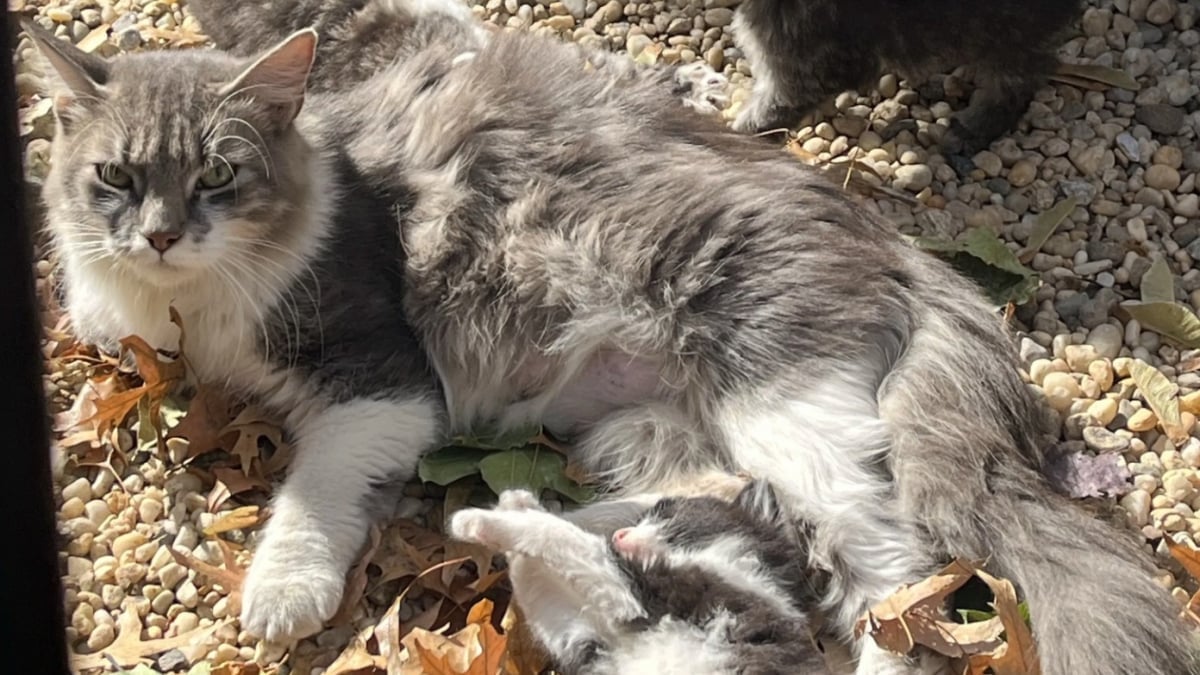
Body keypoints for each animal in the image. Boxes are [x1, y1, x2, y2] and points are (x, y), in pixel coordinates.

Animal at [446, 482, 830, 672]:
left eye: (664, 515)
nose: (619, 535)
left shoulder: (648, 592)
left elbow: (562, 536)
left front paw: (473, 519)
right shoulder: (591, 634)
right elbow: (535, 580)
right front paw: (518, 502)